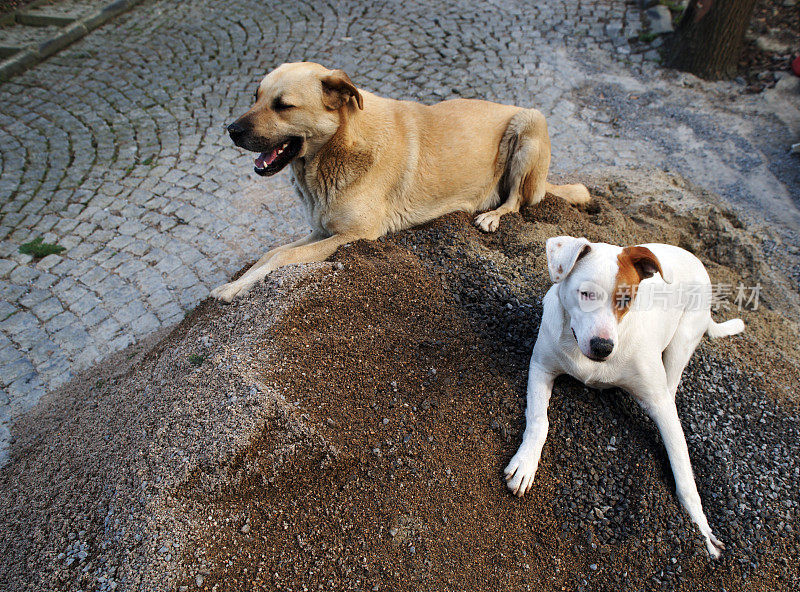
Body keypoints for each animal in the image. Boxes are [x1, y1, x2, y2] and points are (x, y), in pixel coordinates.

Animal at [212, 62, 588, 300]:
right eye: (256, 97)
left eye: (283, 105)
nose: (231, 130)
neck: (339, 146)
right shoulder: (323, 229)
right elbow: (270, 253)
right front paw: (234, 284)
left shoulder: (353, 235)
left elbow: (281, 258)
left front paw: (234, 289)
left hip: (530, 123)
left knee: (517, 200)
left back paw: (493, 215)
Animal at [506, 235, 744, 556]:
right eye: (586, 294)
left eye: (626, 300)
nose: (603, 347)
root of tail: (695, 259)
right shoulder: (541, 367)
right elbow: (539, 421)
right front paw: (526, 463)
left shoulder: (660, 404)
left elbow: (684, 474)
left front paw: (702, 530)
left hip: (683, 340)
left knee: (672, 383)